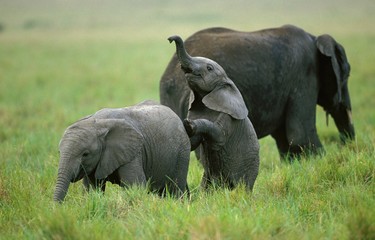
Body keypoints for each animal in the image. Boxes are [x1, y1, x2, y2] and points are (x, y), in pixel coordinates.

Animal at [53, 100, 191, 202]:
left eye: (85, 154)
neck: (98, 123)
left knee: (175, 188)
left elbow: (135, 187)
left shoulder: (133, 153)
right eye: (59, 153)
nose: (56, 209)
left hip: (182, 152)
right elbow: (92, 190)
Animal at [161, 24, 356, 159]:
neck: (314, 39)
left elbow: (284, 138)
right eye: (347, 73)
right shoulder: (305, 76)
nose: (348, 148)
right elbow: (300, 134)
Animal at [169, 35, 260, 191]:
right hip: (208, 175)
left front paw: (188, 125)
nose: (170, 39)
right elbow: (193, 143)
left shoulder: (229, 115)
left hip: (250, 168)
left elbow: (219, 136)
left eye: (209, 68)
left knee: (243, 186)